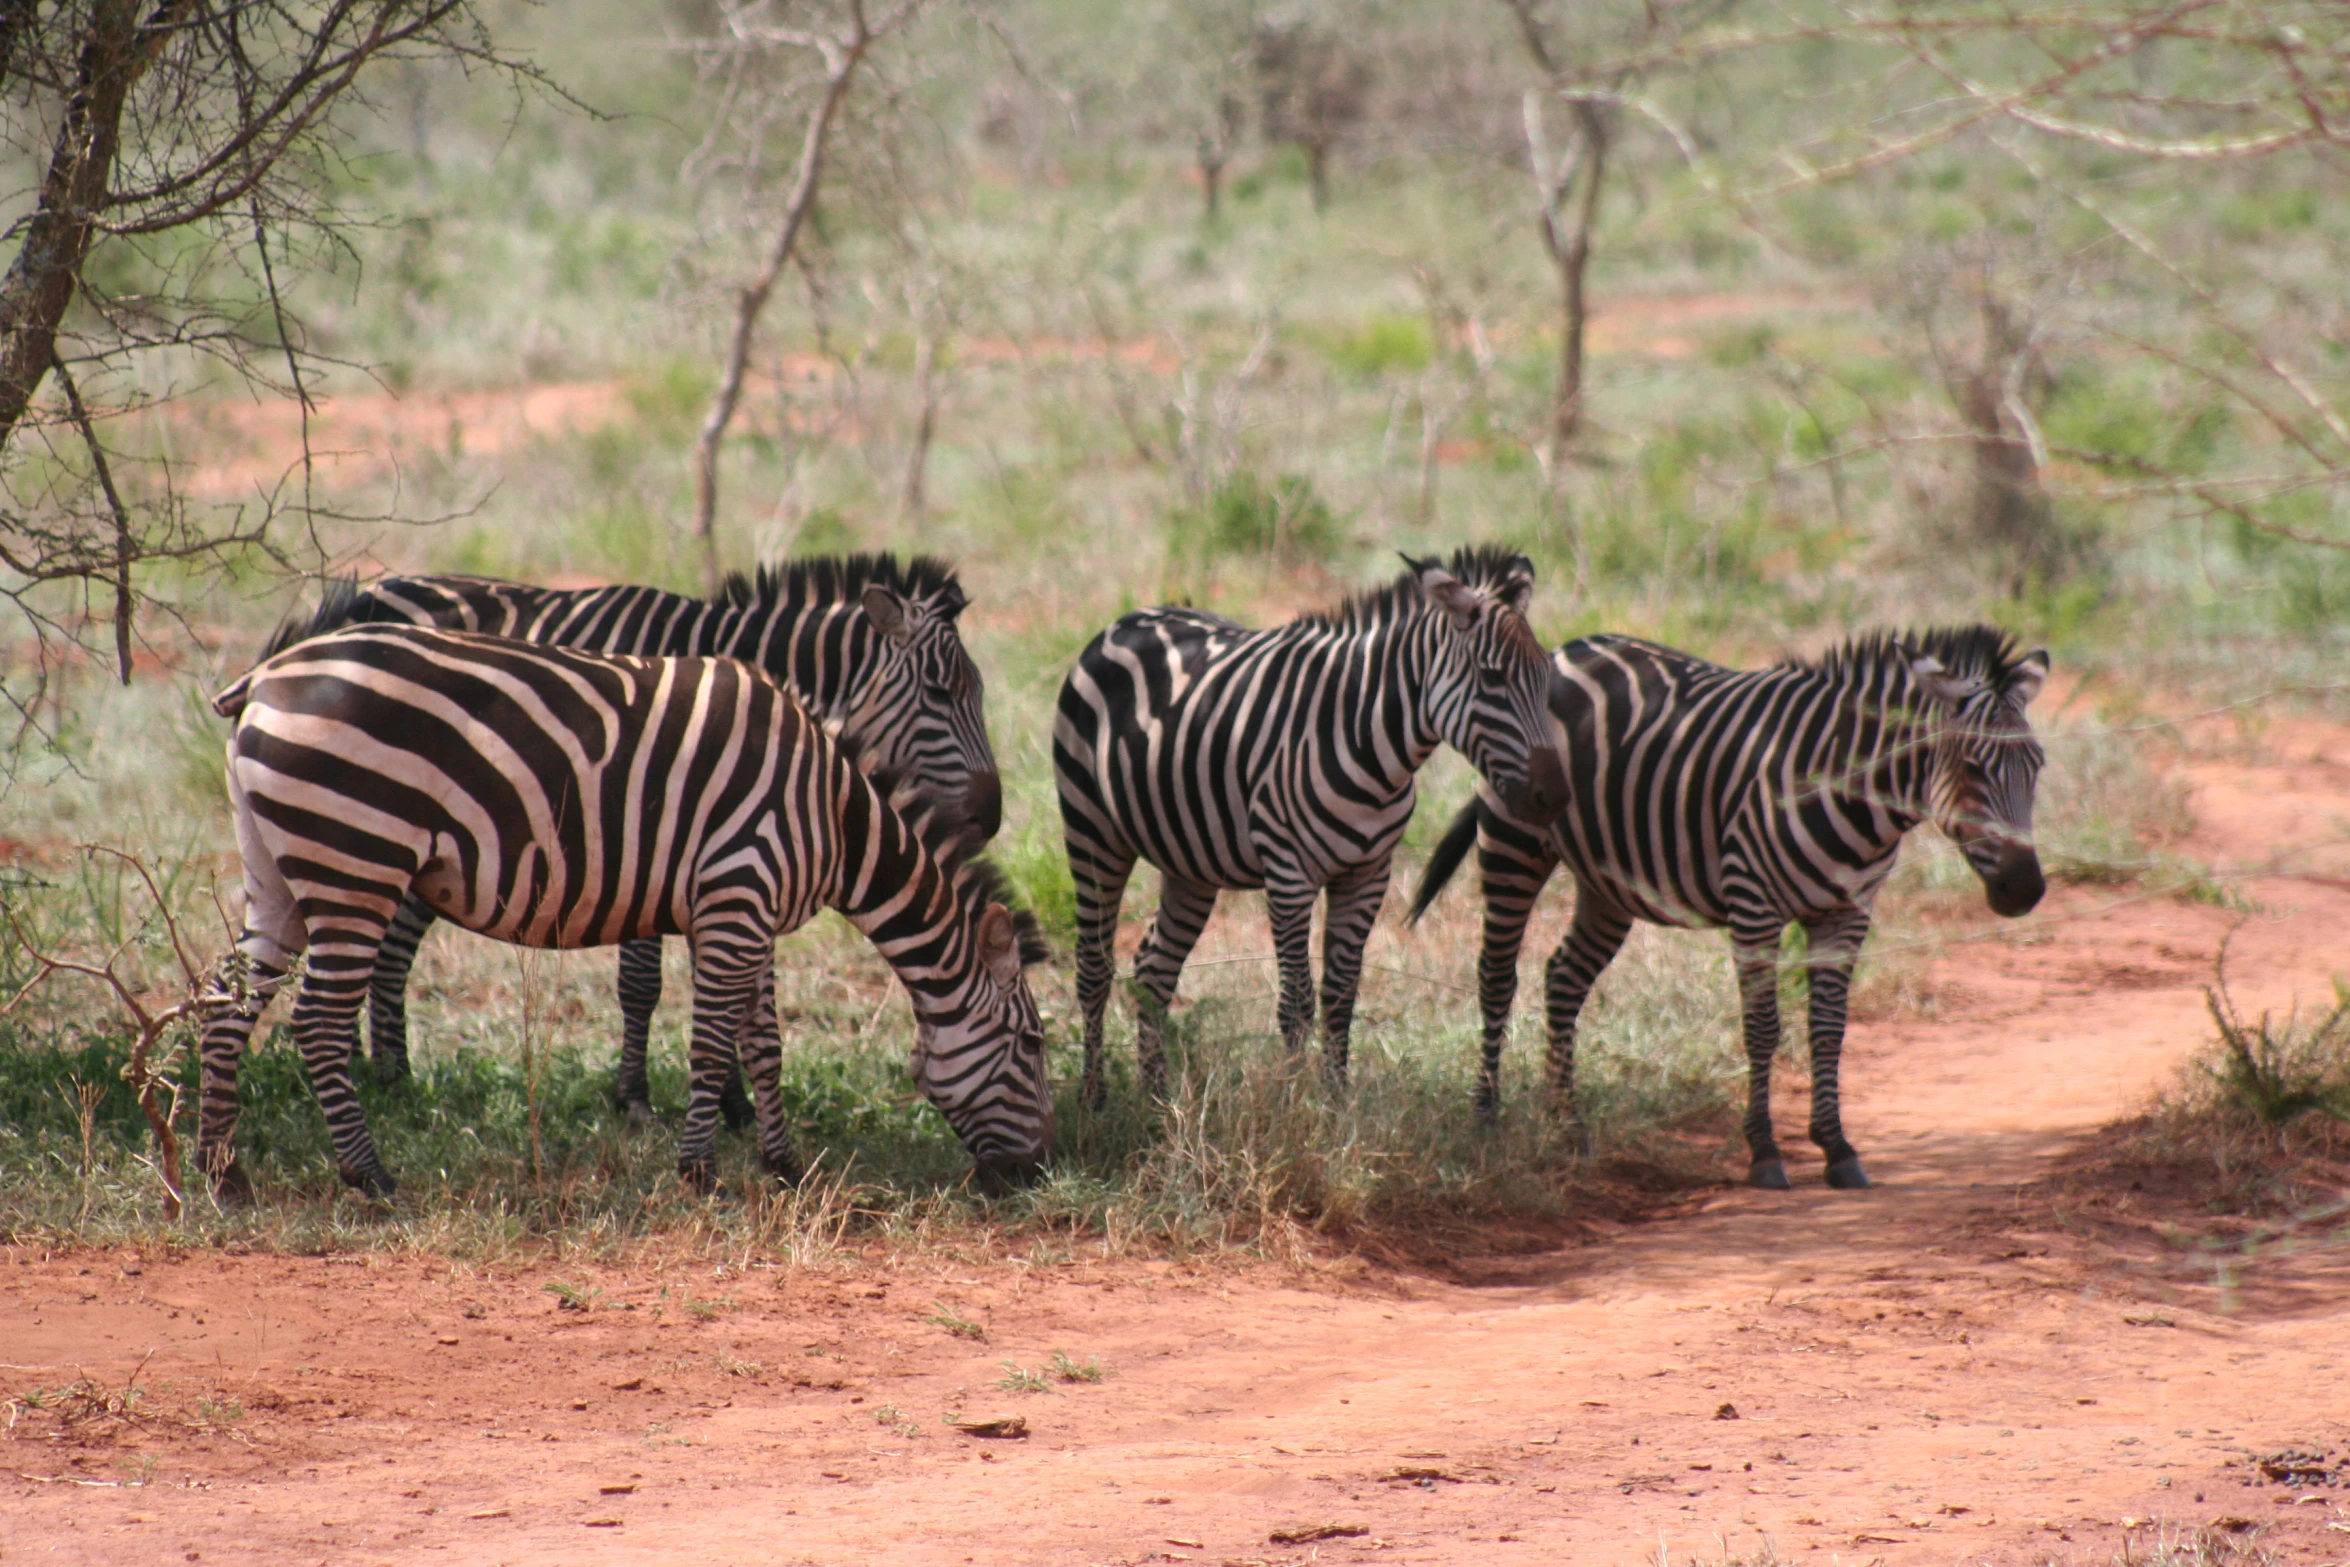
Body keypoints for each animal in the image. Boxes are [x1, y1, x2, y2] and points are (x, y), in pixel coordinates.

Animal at [199, 620, 1048, 1202]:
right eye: (1033, 1044)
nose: (1035, 1173)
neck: (835, 814)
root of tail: (266, 676)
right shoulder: (737, 894)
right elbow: (711, 1043)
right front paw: (701, 1173)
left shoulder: (751, 912)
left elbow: (764, 1044)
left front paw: (784, 1164)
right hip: (356, 861)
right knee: (317, 1019)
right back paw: (369, 1175)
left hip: (278, 873)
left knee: (223, 998)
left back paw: (222, 1172)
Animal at [321, 556, 1001, 1122]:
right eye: (940, 693)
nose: (991, 818)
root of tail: (371, 590)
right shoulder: (644, 828)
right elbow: (644, 984)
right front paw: (636, 1099)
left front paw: (732, 1104)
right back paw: (385, 1074)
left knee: (381, 938)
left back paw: (374, 1068)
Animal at [1057, 549, 1569, 1104]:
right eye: (1492, 678)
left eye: (1546, 676)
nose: (1555, 797)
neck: (1371, 745)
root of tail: (1131, 618)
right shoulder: (1288, 874)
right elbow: (1297, 1002)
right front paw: (1295, 1104)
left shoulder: (1368, 874)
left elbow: (1341, 996)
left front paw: (1336, 1101)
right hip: (1091, 830)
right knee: (1092, 966)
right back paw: (1093, 1098)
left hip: (1190, 861)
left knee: (1154, 968)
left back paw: (1156, 1098)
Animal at [1400, 624, 2049, 1188]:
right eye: (1971, 766)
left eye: (2038, 766)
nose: (2026, 890)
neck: (1847, 790)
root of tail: (1566, 648)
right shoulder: (1753, 904)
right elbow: (1763, 1029)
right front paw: (1764, 1153)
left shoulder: (1846, 914)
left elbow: (1828, 1030)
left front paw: (1838, 1148)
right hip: (1514, 842)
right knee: (1496, 976)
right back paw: (1486, 1121)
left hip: (1607, 882)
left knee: (1562, 977)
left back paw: (1569, 1127)